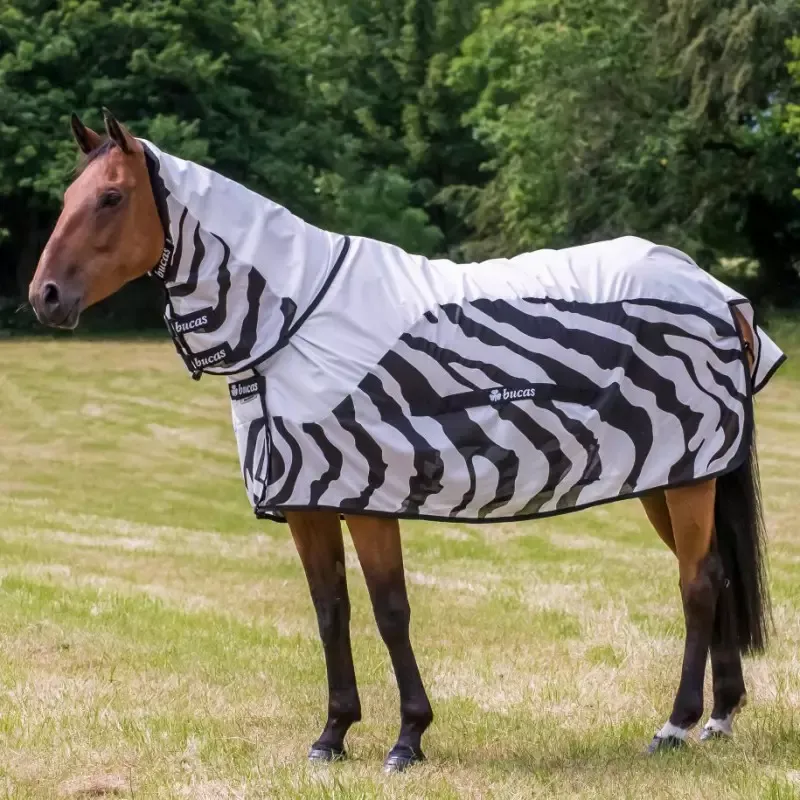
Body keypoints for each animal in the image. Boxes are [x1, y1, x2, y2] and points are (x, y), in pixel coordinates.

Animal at [29, 110, 785, 773]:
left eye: (111, 198)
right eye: (68, 197)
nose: (45, 297)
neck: (295, 324)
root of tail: (718, 294)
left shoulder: (367, 491)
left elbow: (391, 612)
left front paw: (407, 740)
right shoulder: (307, 502)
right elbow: (330, 611)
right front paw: (333, 736)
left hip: (687, 471)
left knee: (697, 583)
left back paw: (675, 725)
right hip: (671, 473)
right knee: (716, 573)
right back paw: (719, 717)